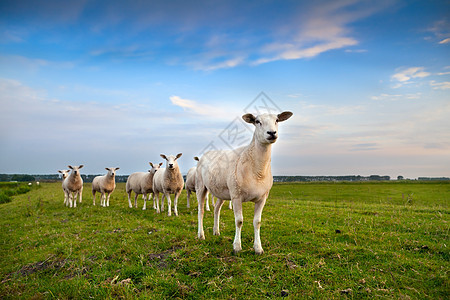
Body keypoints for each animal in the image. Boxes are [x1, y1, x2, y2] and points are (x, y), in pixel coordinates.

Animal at [195, 111, 294, 254]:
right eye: (257, 121)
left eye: (276, 120)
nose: (272, 133)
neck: (257, 171)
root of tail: (205, 154)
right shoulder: (236, 196)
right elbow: (239, 221)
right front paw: (237, 246)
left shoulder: (262, 198)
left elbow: (257, 222)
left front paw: (258, 248)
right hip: (200, 186)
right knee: (201, 211)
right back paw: (201, 235)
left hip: (221, 191)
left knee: (216, 209)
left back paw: (216, 231)